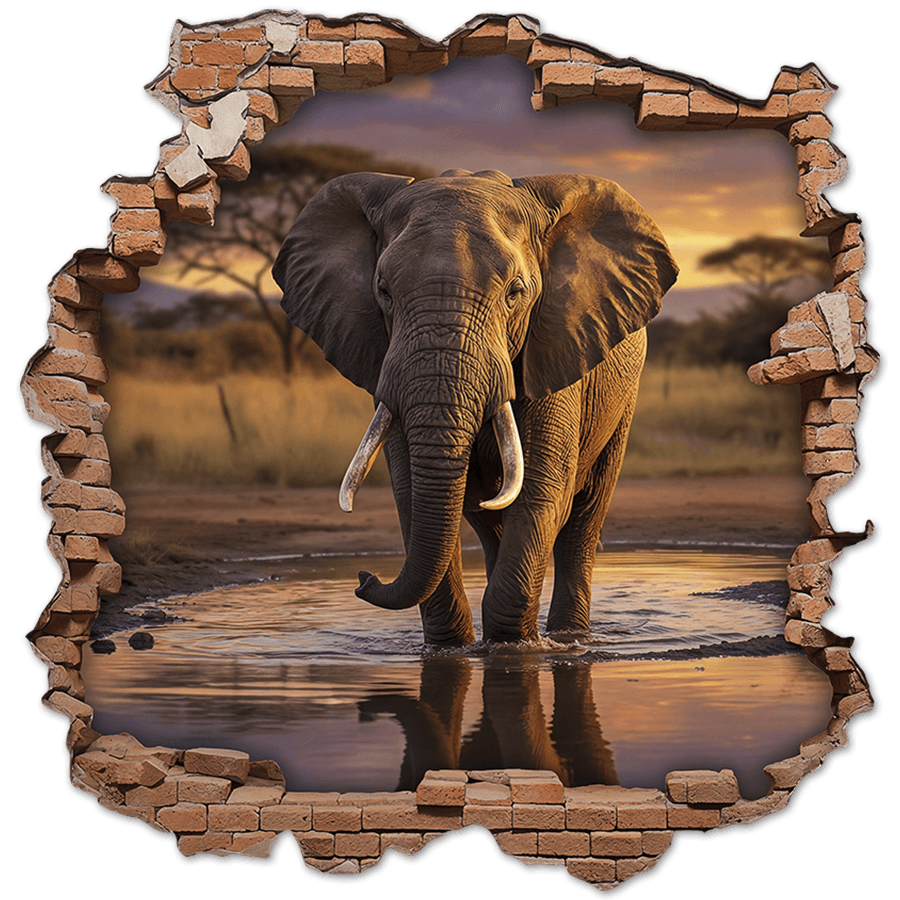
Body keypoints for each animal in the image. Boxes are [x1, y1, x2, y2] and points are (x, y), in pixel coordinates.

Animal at [273, 168, 677, 645]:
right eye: (383, 291)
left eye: (515, 293)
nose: (363, 578)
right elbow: (412, 492)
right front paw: (454, 649)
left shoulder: (555, 345)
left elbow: (541, 488)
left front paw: (513, 648)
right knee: (490, 522)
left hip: (622, 401)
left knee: (584, 516)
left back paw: (570, 639)